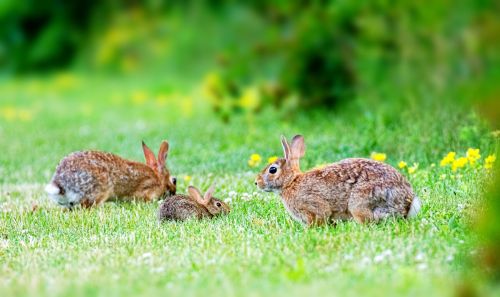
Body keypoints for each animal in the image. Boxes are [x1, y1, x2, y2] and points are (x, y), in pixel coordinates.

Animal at [254, 134, 422, 224]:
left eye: (272, 170)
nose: (256, 182)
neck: (290, 182)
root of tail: (407, 203)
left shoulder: (314, 206)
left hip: (360, 203)